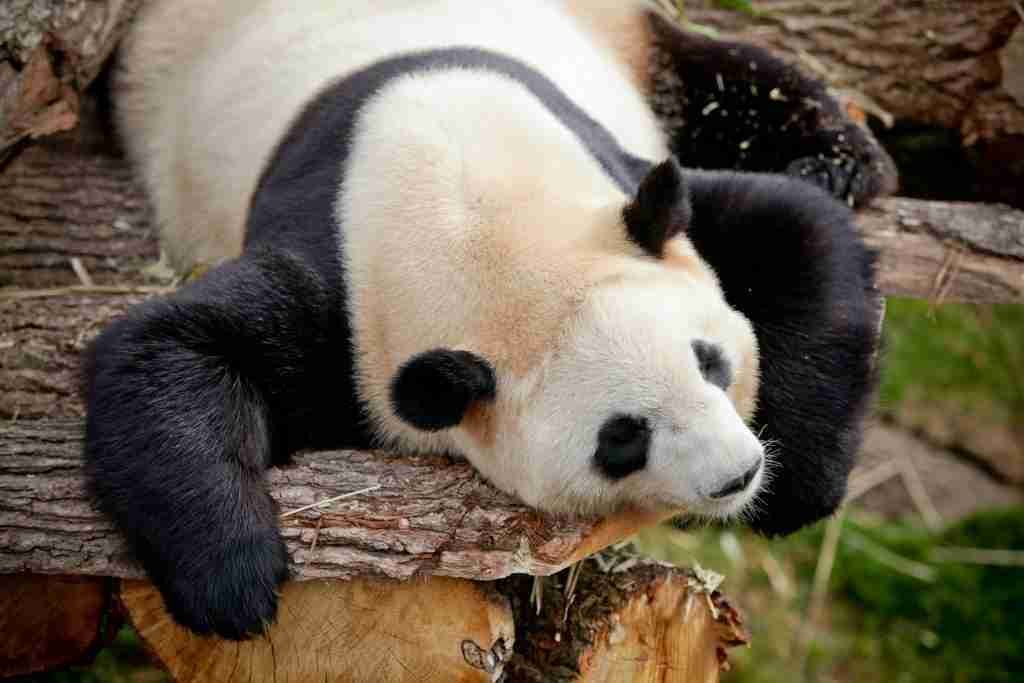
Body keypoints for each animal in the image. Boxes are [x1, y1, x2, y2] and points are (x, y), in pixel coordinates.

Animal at [83, 0, 892, 643]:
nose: (738, 474)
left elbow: (793, 224)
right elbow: (164, 347)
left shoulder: (617, 181)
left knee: (722, 73)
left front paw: (796, 487)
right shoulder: (347, 301)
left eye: (709, 360)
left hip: (622, 32)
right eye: (622, 438)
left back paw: (842, 160)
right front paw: (236, 580)